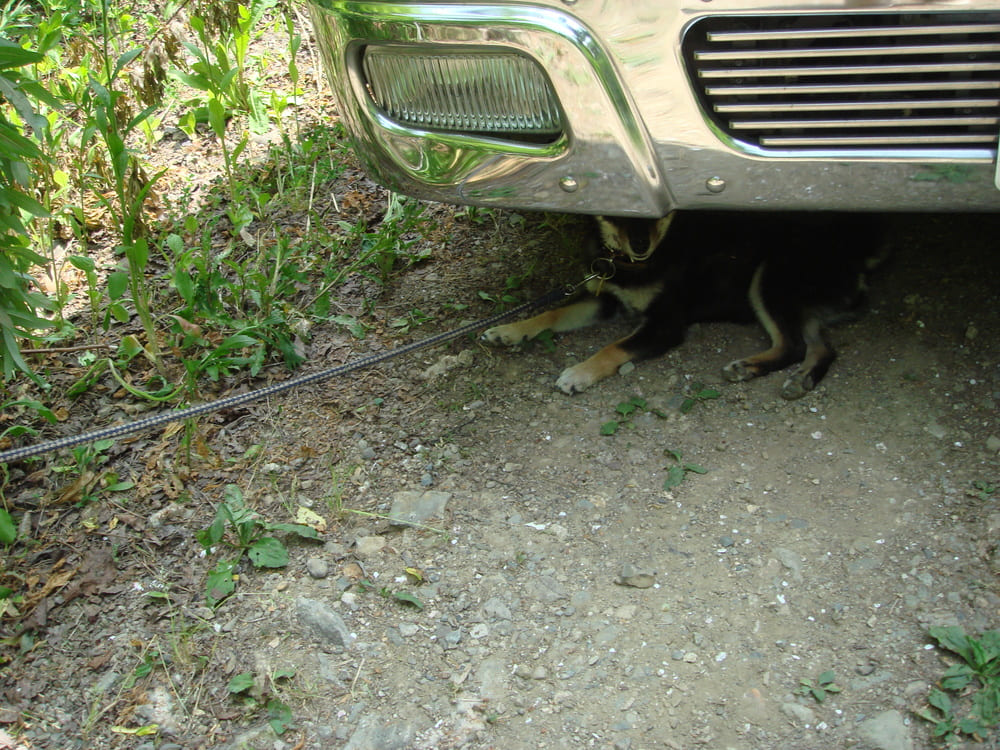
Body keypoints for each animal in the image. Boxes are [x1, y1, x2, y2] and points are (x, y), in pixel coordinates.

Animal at [484, 212, 884, 400]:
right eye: (617, 213)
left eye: (656, 214)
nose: (641, 245)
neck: (630, 263)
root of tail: (863, 256)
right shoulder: (606, 299)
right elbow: (553, 312)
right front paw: (509, 330)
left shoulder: (665, 325)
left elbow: (612, 348)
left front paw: (579, 373)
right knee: (822, 347)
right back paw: (800, 379)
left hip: (770, 277)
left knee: (794, 345)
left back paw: (749, 367)